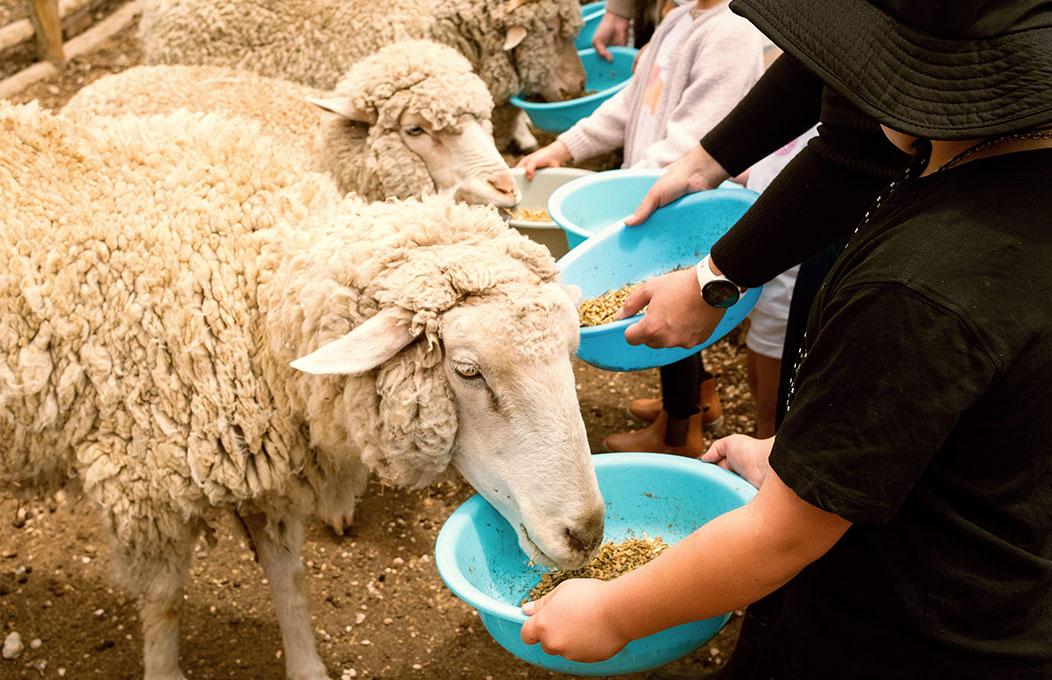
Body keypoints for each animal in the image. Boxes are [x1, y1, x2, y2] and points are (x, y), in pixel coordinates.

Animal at [0, 101, 605, 680]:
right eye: (468, 370)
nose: (587, 533)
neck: (251, 282)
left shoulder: (266, 471)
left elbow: (288, 577)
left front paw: (307, 665)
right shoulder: (146, 485)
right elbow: (164, 600)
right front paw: (164, 671)